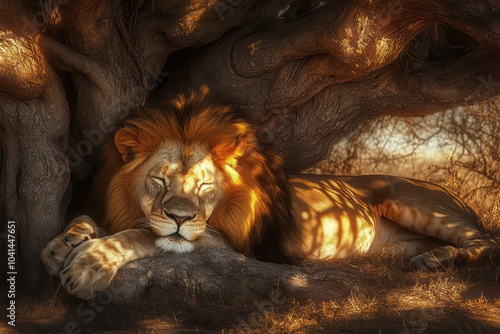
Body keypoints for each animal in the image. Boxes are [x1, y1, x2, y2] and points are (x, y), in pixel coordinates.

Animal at [41, 86, 494, 300]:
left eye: (205, 185)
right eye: (160, 180)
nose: (181, 217)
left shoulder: (226, 239)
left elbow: (142, 234)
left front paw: (90, 263)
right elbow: (89, 218)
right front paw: (64, 242)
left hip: (410, 200)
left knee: (488, 241)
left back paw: (440, 258)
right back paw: (435, 257)